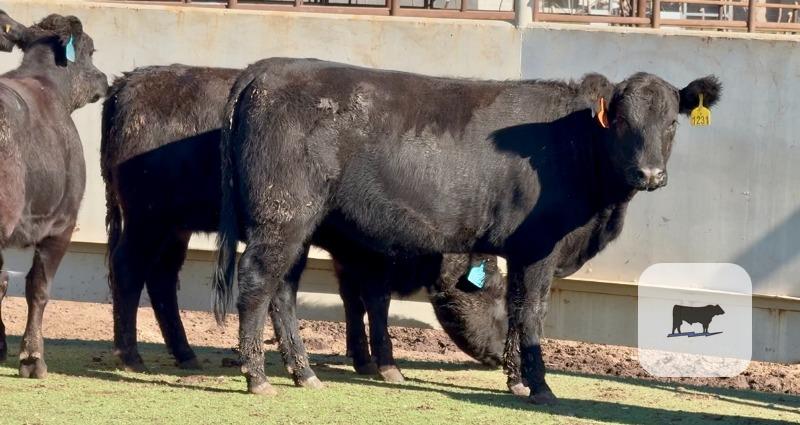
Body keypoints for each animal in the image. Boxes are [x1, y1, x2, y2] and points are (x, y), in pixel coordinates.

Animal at [101, 65, 509, 388]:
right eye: (492, 288)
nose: (502, 354)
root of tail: (130, 81)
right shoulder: (369, 255)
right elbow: (374, 302)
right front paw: (386, 365)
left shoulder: (346, 253)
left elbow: (352, 300)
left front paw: (362, 359)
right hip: (146, 220)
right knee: (128, 269)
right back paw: (131, 355)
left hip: (173, 228)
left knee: (162, 278)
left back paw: (185, 353)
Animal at [213, 57, 721, 404]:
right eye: (620, 121)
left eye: (671, 123)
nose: (650, 173)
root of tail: (265, 71)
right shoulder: (540, 248)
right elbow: (531, 312)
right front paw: (540, 386)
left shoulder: (521, 251)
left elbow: (516, 309)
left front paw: (516, 379)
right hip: (282, 216)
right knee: (258, 284)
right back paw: (257, 377)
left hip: (298, 226)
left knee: (283, 290)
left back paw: (303, 372)